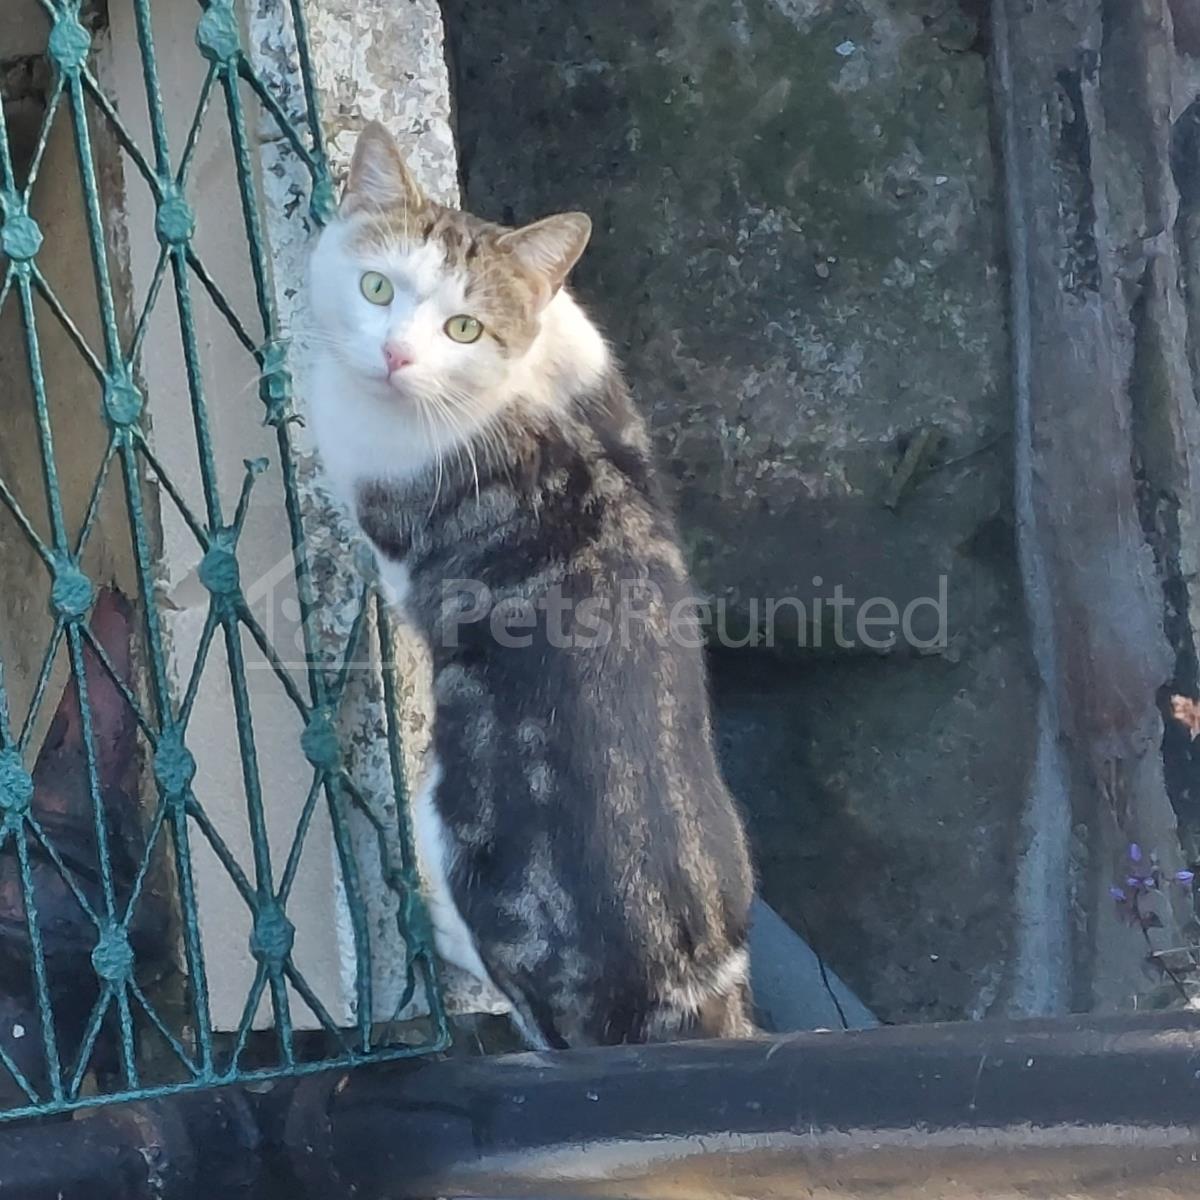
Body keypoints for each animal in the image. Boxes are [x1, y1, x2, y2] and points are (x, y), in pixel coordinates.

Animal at [306, 122, 755, 1048]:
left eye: (462, 327)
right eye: (377, 287)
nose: (396, 353)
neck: (514, 394)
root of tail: (685, 989)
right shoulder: (600, 381)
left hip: (465, 822)